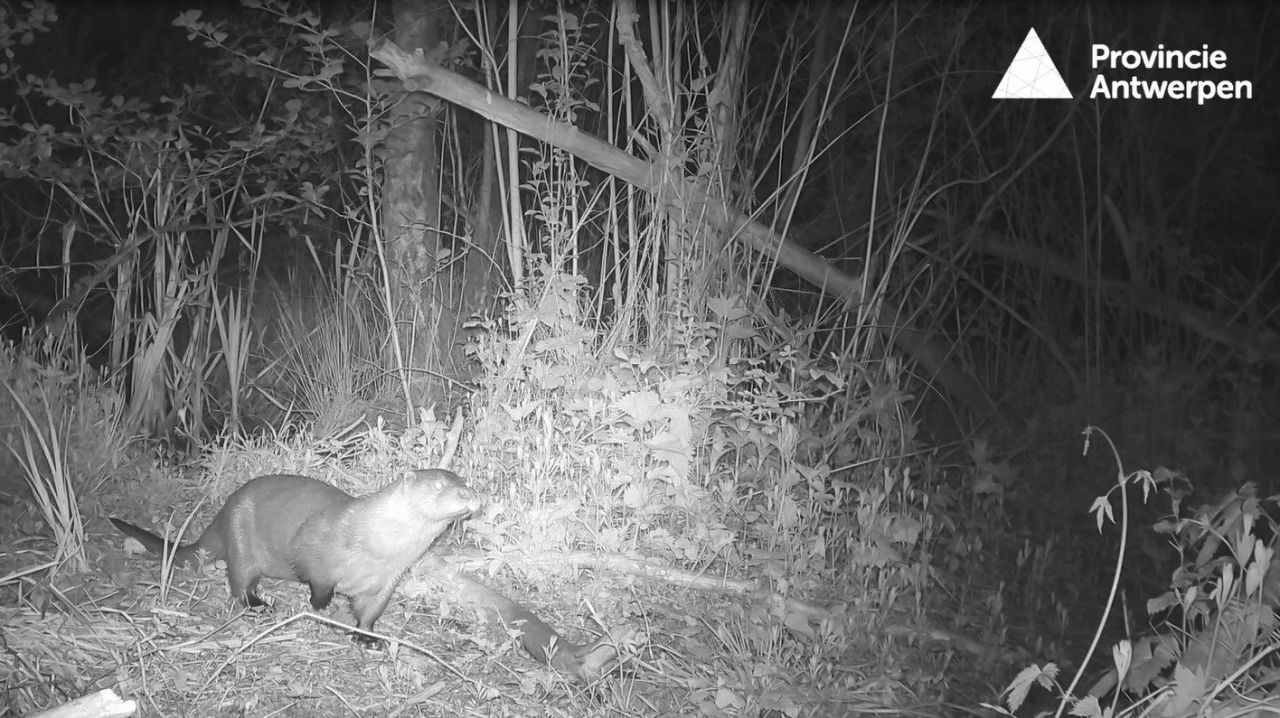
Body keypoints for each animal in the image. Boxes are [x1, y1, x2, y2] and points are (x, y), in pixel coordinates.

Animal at [110, 469, 482, 643]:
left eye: (465, 481)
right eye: (438, 485)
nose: (472, 495)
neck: (379, 547)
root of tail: (223, 510)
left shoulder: (388, 579)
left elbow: (370, 611)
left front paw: (367, 636)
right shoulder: (315, 542)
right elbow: (314, 575)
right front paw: (320, 603)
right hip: (240, 539)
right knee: (239, 583)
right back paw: (259, 604)